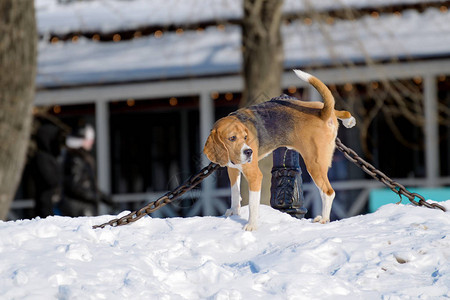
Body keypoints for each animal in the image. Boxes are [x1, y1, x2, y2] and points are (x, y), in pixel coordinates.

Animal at [204, 69, 356, 230]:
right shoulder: (232, 169)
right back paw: (348, 120)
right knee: (339, 110)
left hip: (314, 164)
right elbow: (234, 192)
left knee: (328, 192)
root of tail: (323, 113)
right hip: (316, 111)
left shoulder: (254, 175)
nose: (249, 152)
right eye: (232, 138)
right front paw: (234, 211)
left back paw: (324, 218)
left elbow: (252, 204)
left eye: (245, 137)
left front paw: (251, 225)